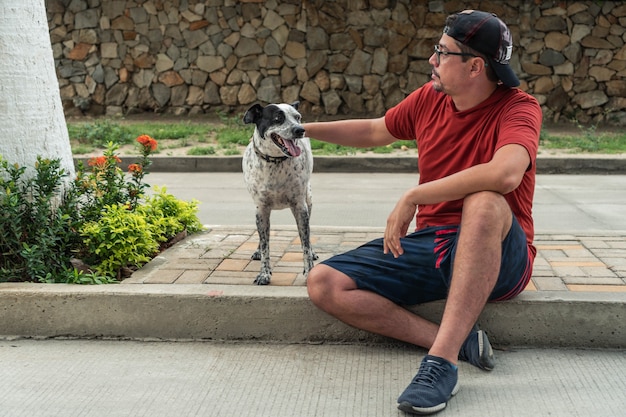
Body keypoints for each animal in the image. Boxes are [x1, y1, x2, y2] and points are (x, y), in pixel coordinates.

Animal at [240, 101, 314, 282]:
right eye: (277, 118)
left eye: (297, 117)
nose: (300, 130)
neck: (275, 162)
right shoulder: (261, 209)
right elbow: (265, 244)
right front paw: (264, 273)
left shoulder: (300, 208)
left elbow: (305, 244)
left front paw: (309, 271)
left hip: (309, 199)